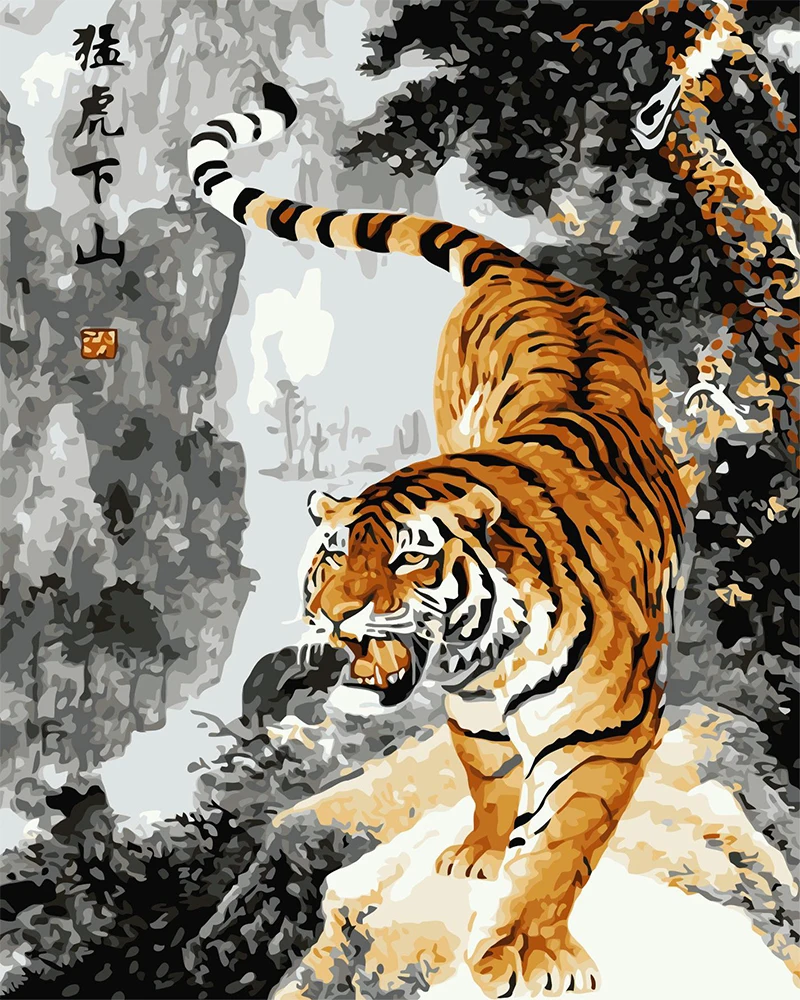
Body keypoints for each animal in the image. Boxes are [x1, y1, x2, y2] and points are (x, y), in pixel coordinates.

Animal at [188, 83, 687, 997]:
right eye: (329, 561)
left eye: (408, 558)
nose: (335, 617)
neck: (486, 650)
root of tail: (528, 270)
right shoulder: (474, 709)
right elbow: (490, 779)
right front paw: (481, 857)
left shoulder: (604, 731)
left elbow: (560, 843)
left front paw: (528, 949)